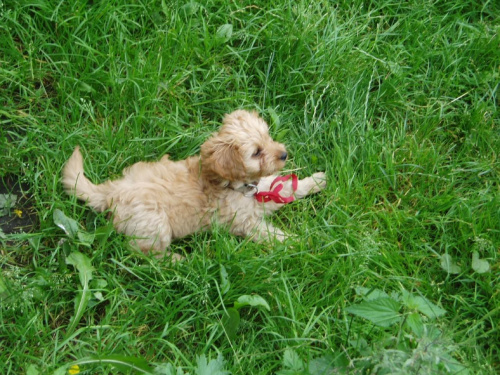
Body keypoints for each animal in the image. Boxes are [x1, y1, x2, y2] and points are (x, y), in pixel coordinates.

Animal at [62, 110, 326, 260]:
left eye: (268, 136)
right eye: (256, 152)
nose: (284, 154)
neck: (237, 186)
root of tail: (112, 190)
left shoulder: (267, 189)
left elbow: (289, 187)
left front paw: (316, 181)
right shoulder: (246, 223)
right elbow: (272, 234)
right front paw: (302, 242)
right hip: (153, 224)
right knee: (143, 253)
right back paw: (178, 261)